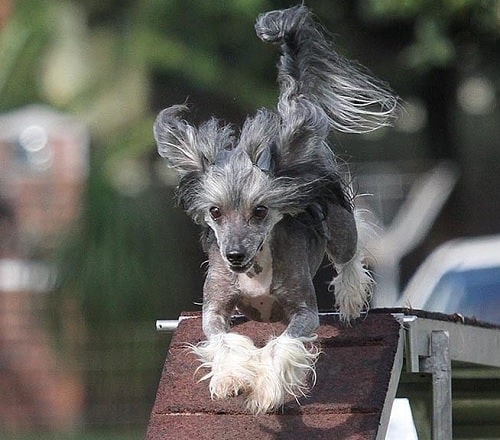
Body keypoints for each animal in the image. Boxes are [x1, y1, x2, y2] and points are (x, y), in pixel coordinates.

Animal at [154, 5, 396, 414]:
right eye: (215, 211)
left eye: (261, 211)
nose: (235, 255)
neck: (256, 266)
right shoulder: (214, 308)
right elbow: (221, 339)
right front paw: (232, 378)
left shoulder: (303, 311)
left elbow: (284, 343)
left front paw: (267, 387)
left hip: (339, 225)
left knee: (350, 251)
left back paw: (350, 298)